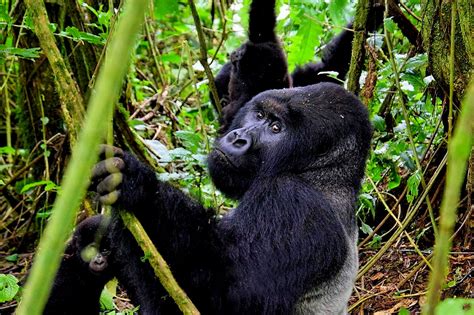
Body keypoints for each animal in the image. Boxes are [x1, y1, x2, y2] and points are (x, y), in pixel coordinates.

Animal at [71, 82, 370, 314]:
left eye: (276, 128)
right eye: (259, 114)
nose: (238, 138)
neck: (322, 174)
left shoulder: (294, 203)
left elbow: (227, 293)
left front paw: (139, 188)